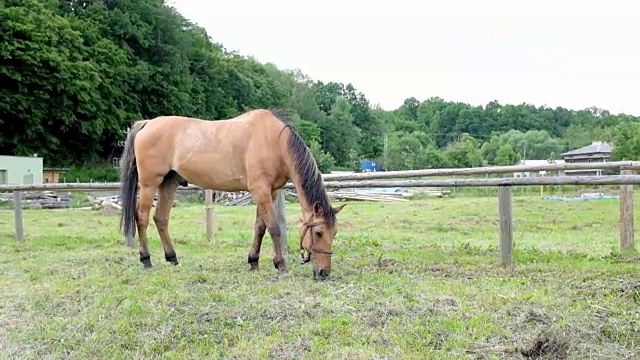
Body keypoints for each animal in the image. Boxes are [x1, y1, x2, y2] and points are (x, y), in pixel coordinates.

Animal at [119, 108, 350, 280]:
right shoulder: (260, 191)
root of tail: (147, 124)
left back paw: (172, 258)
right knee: (142, 217)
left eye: (334, 233)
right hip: (150, 184)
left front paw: (254, 261)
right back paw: (146, 260)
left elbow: (260, 228)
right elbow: (274, 228)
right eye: (318, 232)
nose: (324, 272)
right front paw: (281, 265)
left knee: (161, 218)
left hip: (169, 183)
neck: (275, 142)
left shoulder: (271, 192)